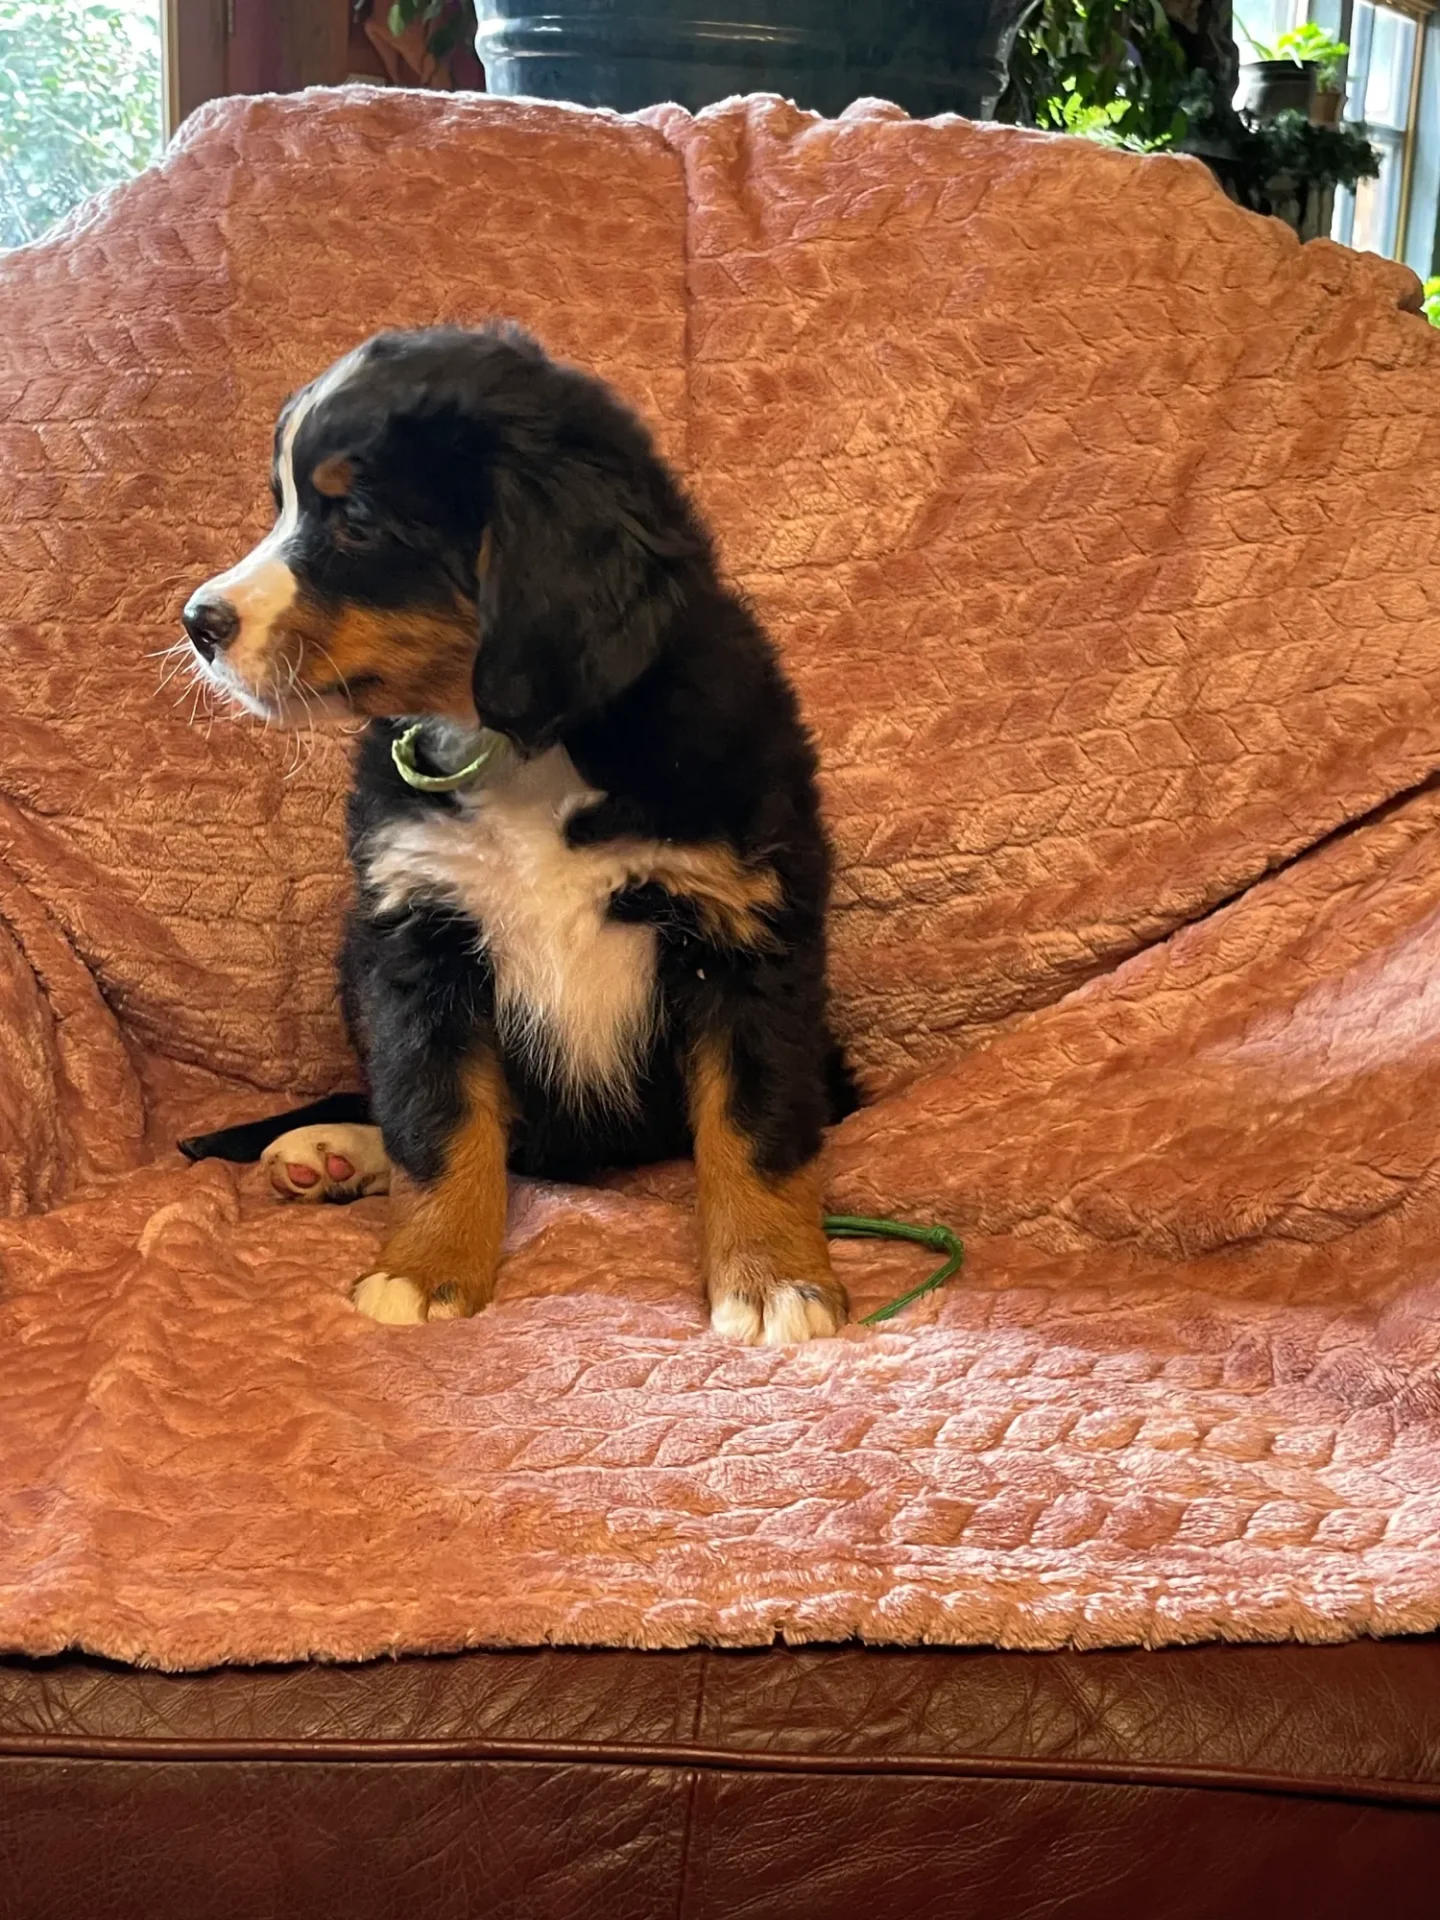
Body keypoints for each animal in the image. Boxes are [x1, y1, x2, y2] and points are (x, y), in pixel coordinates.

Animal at [180, 326, 856, 1351]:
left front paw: (775, 1277)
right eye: (283, 505)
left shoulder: (745, 932)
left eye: (357, 520)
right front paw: (424, 1269)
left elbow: (755, 1124)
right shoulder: (418, 938)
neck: (522, 748)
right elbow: (438, 1116)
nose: (197, 622)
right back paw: (338, 1151)